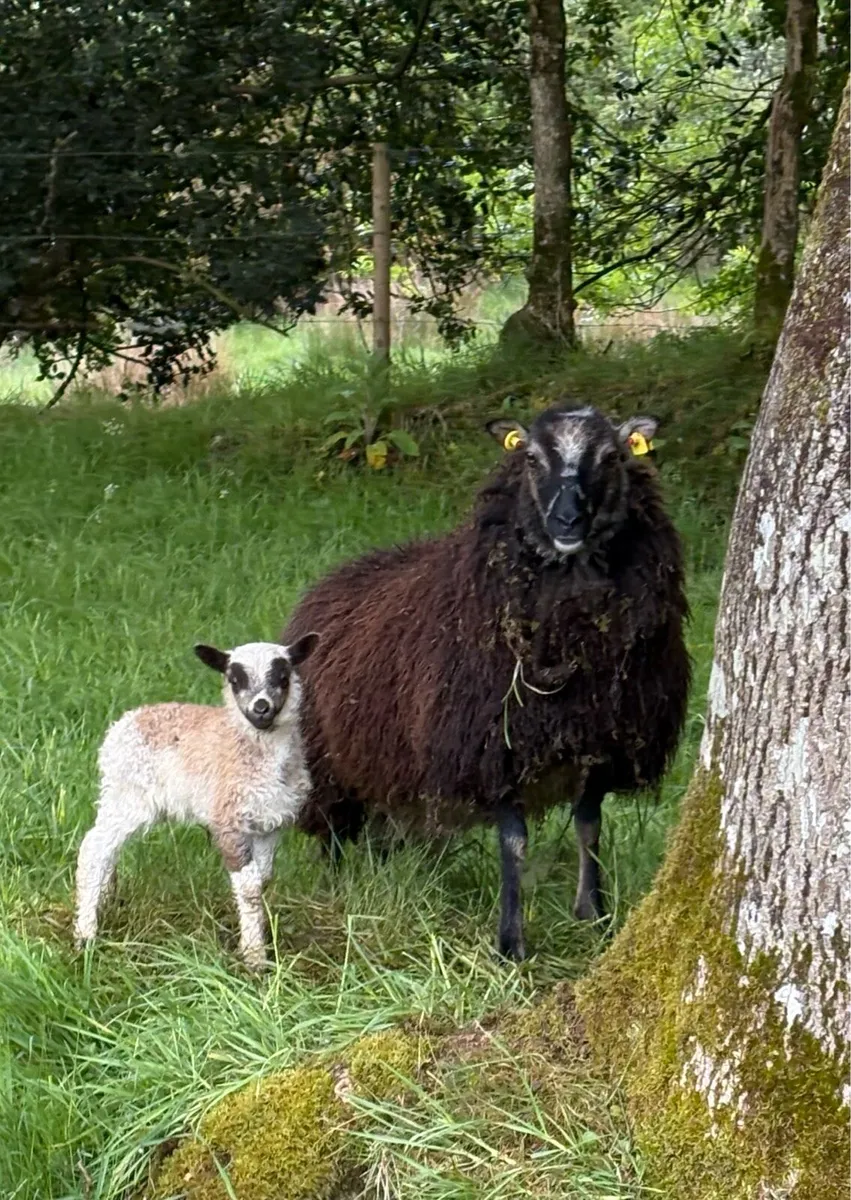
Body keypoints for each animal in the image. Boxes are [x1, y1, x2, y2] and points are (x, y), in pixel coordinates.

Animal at [73, 634, 319, 969]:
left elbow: (263, 880)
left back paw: (106, 901)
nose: (261, 708)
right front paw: (254, 957)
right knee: (94, 849)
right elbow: (249, 888)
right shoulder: (227, 822)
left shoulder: (270, 825)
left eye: (282, 676)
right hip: (128, 794)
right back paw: (85, 935)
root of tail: (124, 723)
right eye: (235, 679)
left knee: (108, 848)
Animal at [282, 403, 690, 961]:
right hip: (329, 766)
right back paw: (337, 886)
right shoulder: (494, 748)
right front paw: (511, 942)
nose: (567, 521)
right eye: (531, 457)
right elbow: (514, 843)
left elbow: (590, 828)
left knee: (381, 828)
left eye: (611, 457)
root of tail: (328, 582)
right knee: (336, 832)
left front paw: (595, 917)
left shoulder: (598, 741)